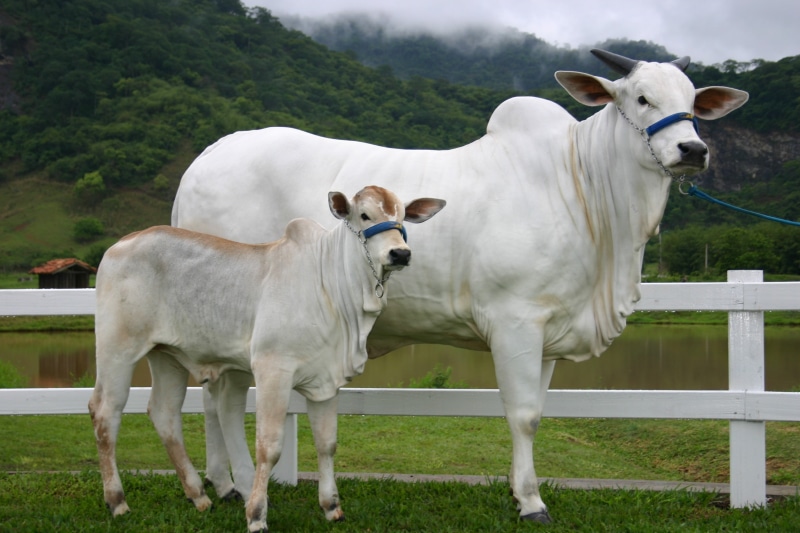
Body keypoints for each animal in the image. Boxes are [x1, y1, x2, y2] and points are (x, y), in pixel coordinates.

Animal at [88, 186, 446, 532]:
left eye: (402, 217)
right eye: (364, 215)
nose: (400, 253)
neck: (332, 287)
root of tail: (121, 244)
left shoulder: (327, 380)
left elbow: (327, 443)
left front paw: (331, 507)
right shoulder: (273, 369)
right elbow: (269, 446)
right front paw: (257, 515)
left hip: (167, 356)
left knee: (164, 413)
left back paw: (199, 496)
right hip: (117, 348)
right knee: (105, 412)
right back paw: (117, 501)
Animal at [171, 49, 749, 523]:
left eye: (693, 104)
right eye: (642, 98)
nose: (692, 149)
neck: (586, 187)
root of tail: (206, 158)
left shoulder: (549, 329)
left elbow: (537, 411)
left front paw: (519, 491)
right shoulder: (516, 320)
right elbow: (522, 415)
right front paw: (532, 502)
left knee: (216, 398)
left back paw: (224, 484)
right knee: (224, 400)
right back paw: (235, 485)